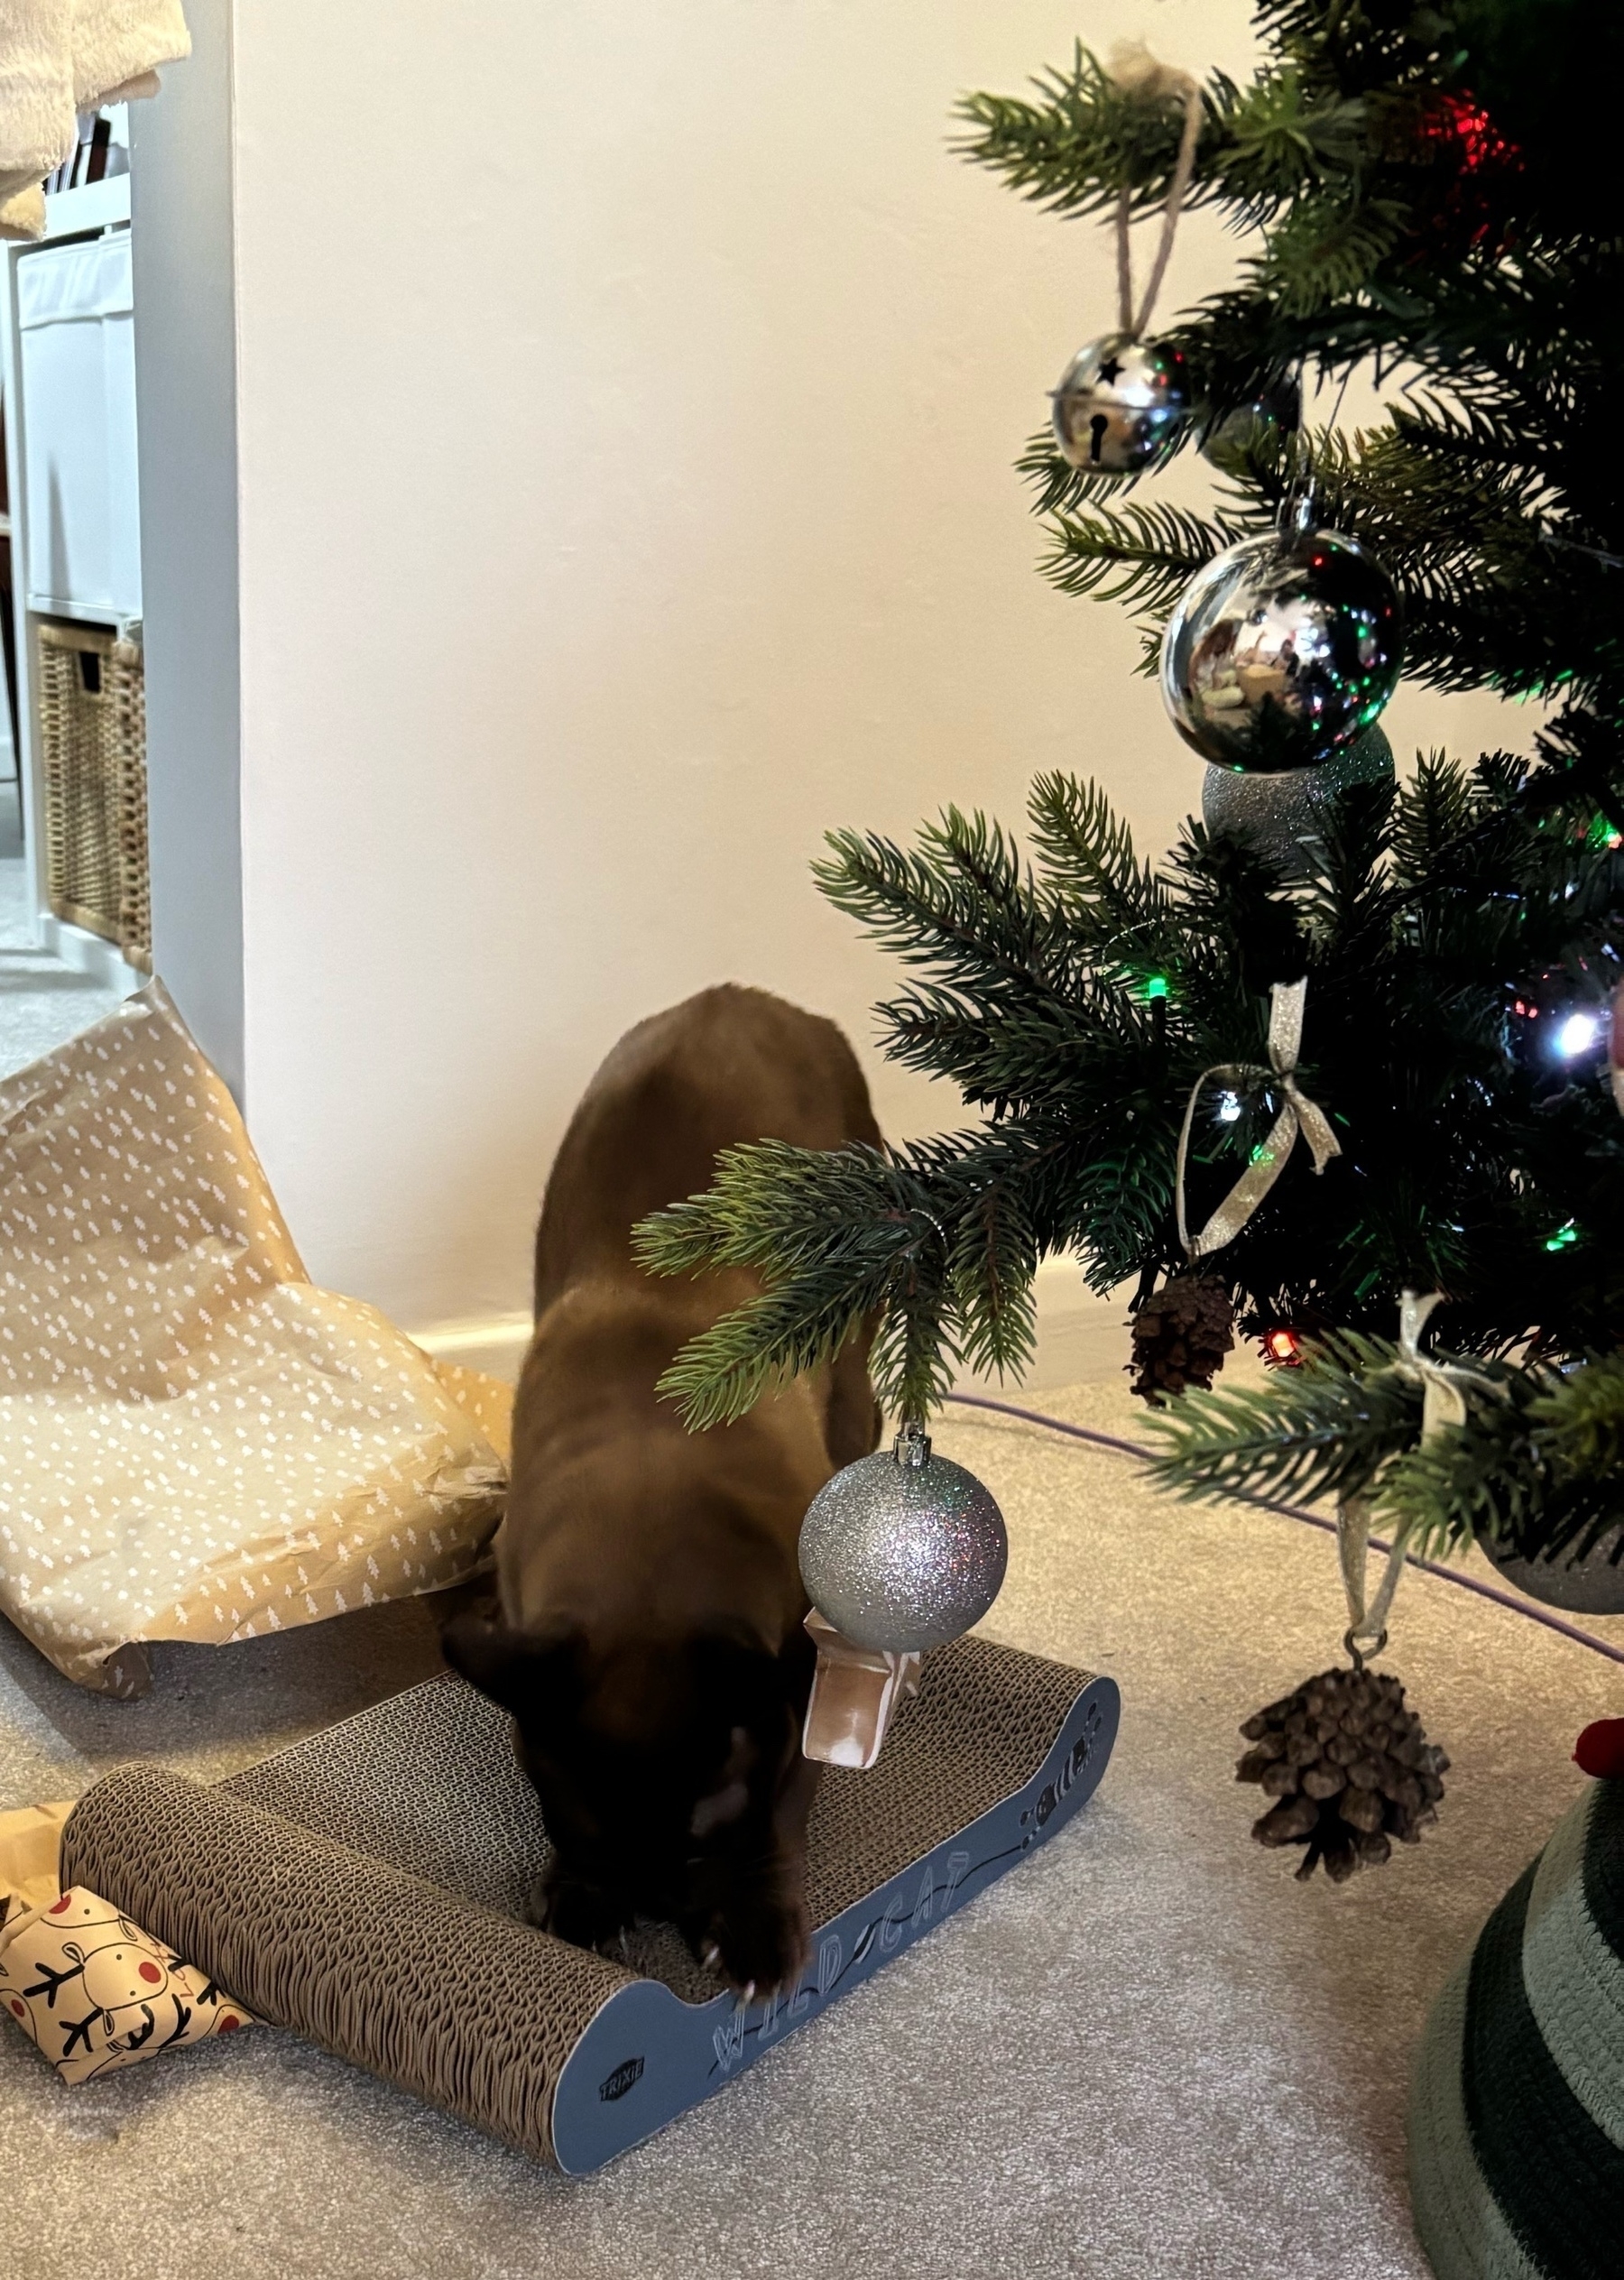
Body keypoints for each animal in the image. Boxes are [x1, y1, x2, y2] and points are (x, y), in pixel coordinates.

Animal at [438, 989, 880, 1988]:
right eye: (581, 1824)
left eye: (699, 1837)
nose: (654, 1904)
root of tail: (743, 996)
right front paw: (581, 1898)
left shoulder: (793, 1689)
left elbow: (782, 1810)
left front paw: (751, 1925)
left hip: (858, 1366)